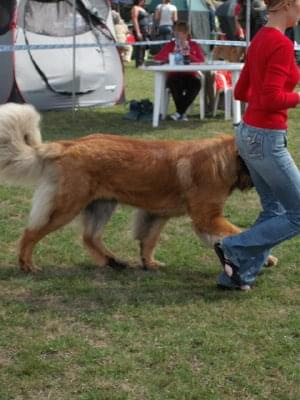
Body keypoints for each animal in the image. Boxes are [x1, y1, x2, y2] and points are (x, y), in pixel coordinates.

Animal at [0, 103, 276, 272]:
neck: (223, 160)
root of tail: (65, 145)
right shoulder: (207, 218)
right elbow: (237, 231)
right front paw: (268, 257)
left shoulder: (158, 214)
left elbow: (149, 240)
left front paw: (149, 262)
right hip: (65, 208)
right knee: (30, 233)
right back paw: (27, 264)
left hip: (102, 205)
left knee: (90, 237)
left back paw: (113, 260)